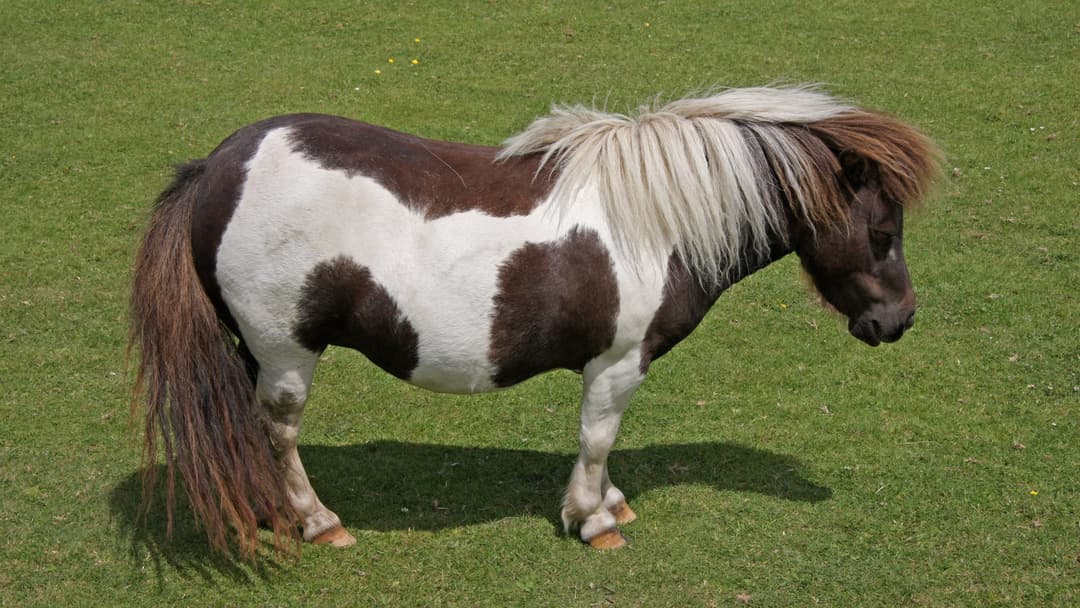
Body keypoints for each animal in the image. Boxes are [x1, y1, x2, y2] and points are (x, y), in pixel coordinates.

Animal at [130, 86, 940, 558]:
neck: (657, 222)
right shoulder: (618, 362)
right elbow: (597, 439)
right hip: (286, 353)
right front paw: (593, 520)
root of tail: (217, 167)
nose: (896, 320)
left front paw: (609, 504)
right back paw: (314, 519)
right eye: (882, 232)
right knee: (279, 434)